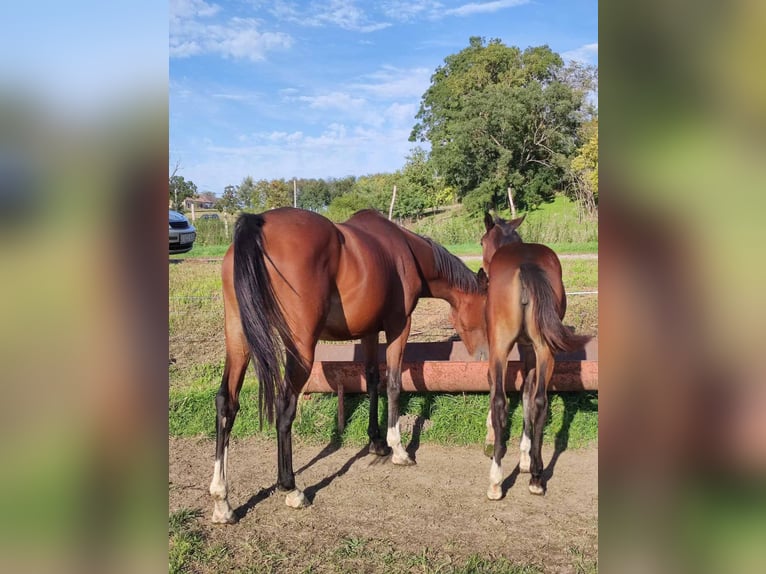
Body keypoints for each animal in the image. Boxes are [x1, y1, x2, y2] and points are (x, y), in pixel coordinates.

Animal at [210, 209, 486, 524]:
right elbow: (393, 384)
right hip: (299, 348)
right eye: (486, 309)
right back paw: (291, 489)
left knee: (226, 403)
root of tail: (258, 223)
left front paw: (376, 441)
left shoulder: (369, 332)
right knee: (284, 406)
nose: (481, 354)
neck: (407, 250)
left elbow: (372, 380)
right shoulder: (399, 327)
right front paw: (398, 448)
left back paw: (222, 501)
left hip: (238, 337)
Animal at [484, 214, 592, 502]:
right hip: (544, 350)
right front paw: (525, 459)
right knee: (540, 400)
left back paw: (498, 480)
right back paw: (535, 477)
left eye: (482, 241)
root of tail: (525, 265)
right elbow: (527, 395)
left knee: (501, 400)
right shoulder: (531, 351)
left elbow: (511, 393)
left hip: (503, 347)